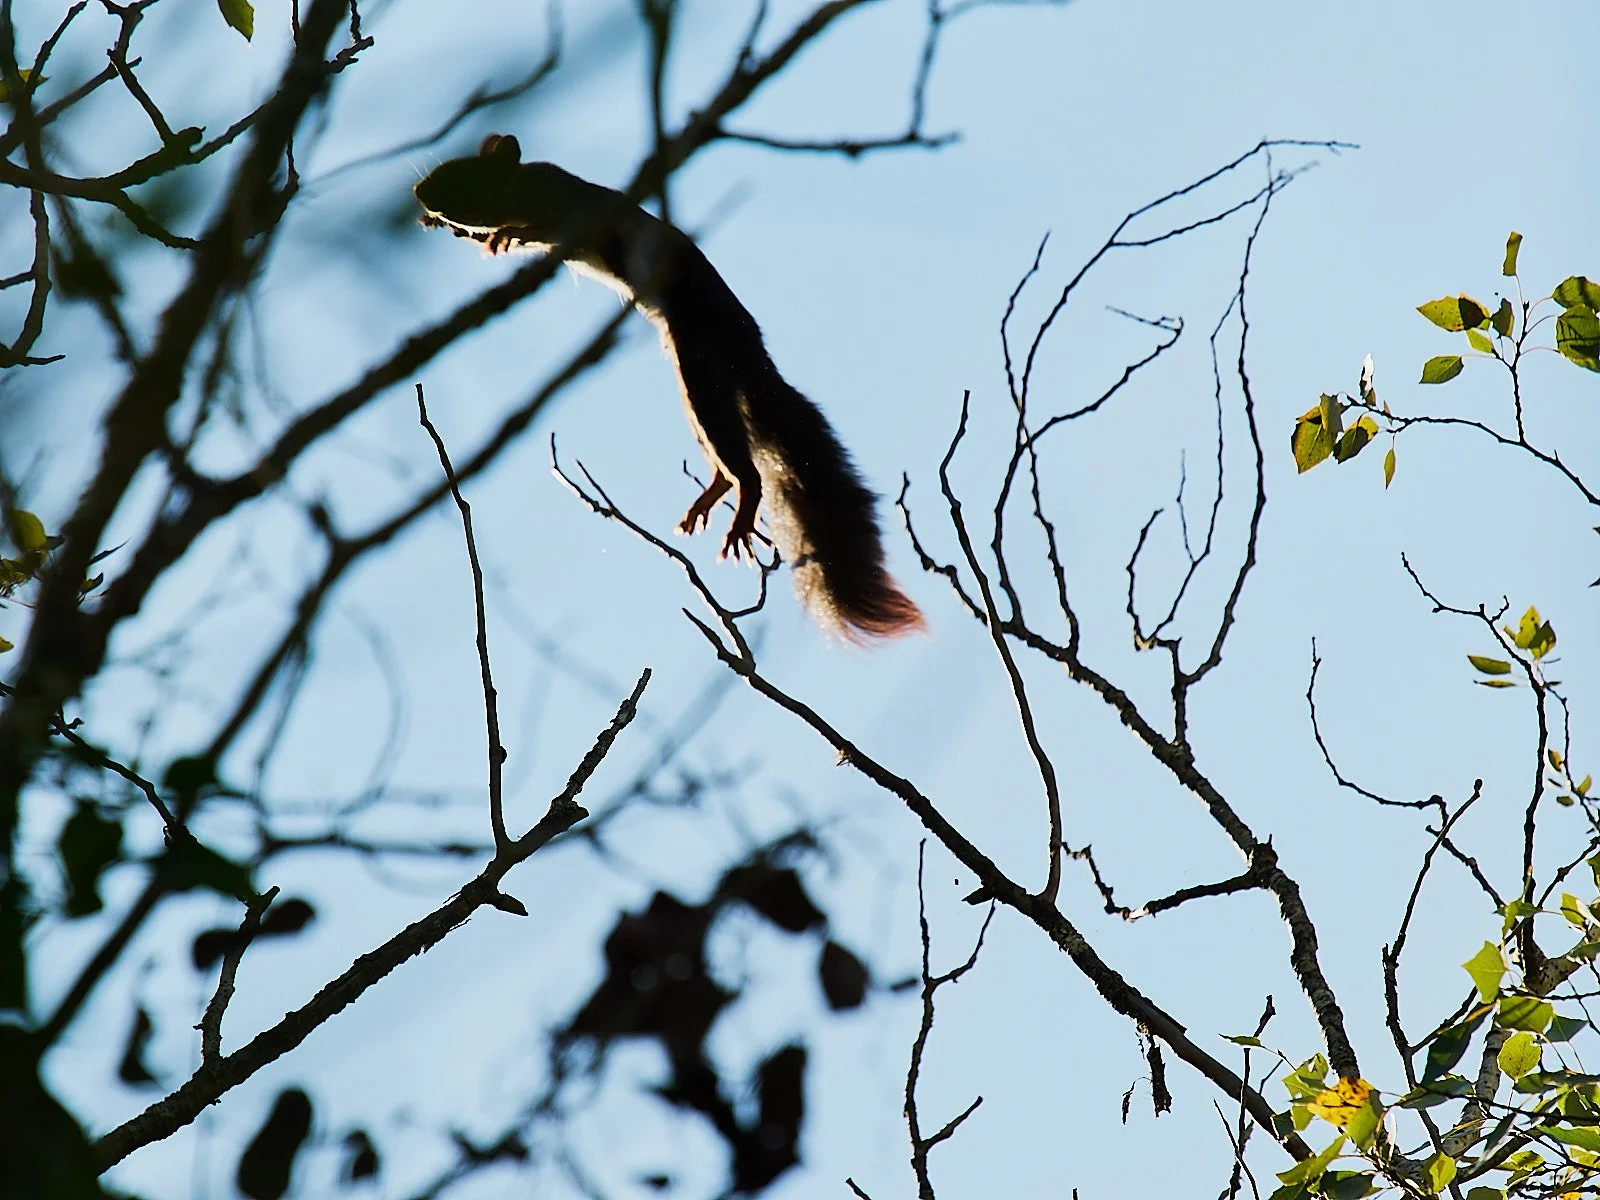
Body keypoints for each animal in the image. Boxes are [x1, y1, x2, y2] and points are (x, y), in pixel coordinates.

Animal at [414, 134, 924, 641]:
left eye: (458, 174)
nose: (419, 196)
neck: (526, 187)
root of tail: (751, 350)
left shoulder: (569, 207)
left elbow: (544, 228)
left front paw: (503, 234)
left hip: (702, 368)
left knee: (745, 467)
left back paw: (743, 506)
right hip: (691, 383)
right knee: (722, 457)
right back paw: (711, 494)